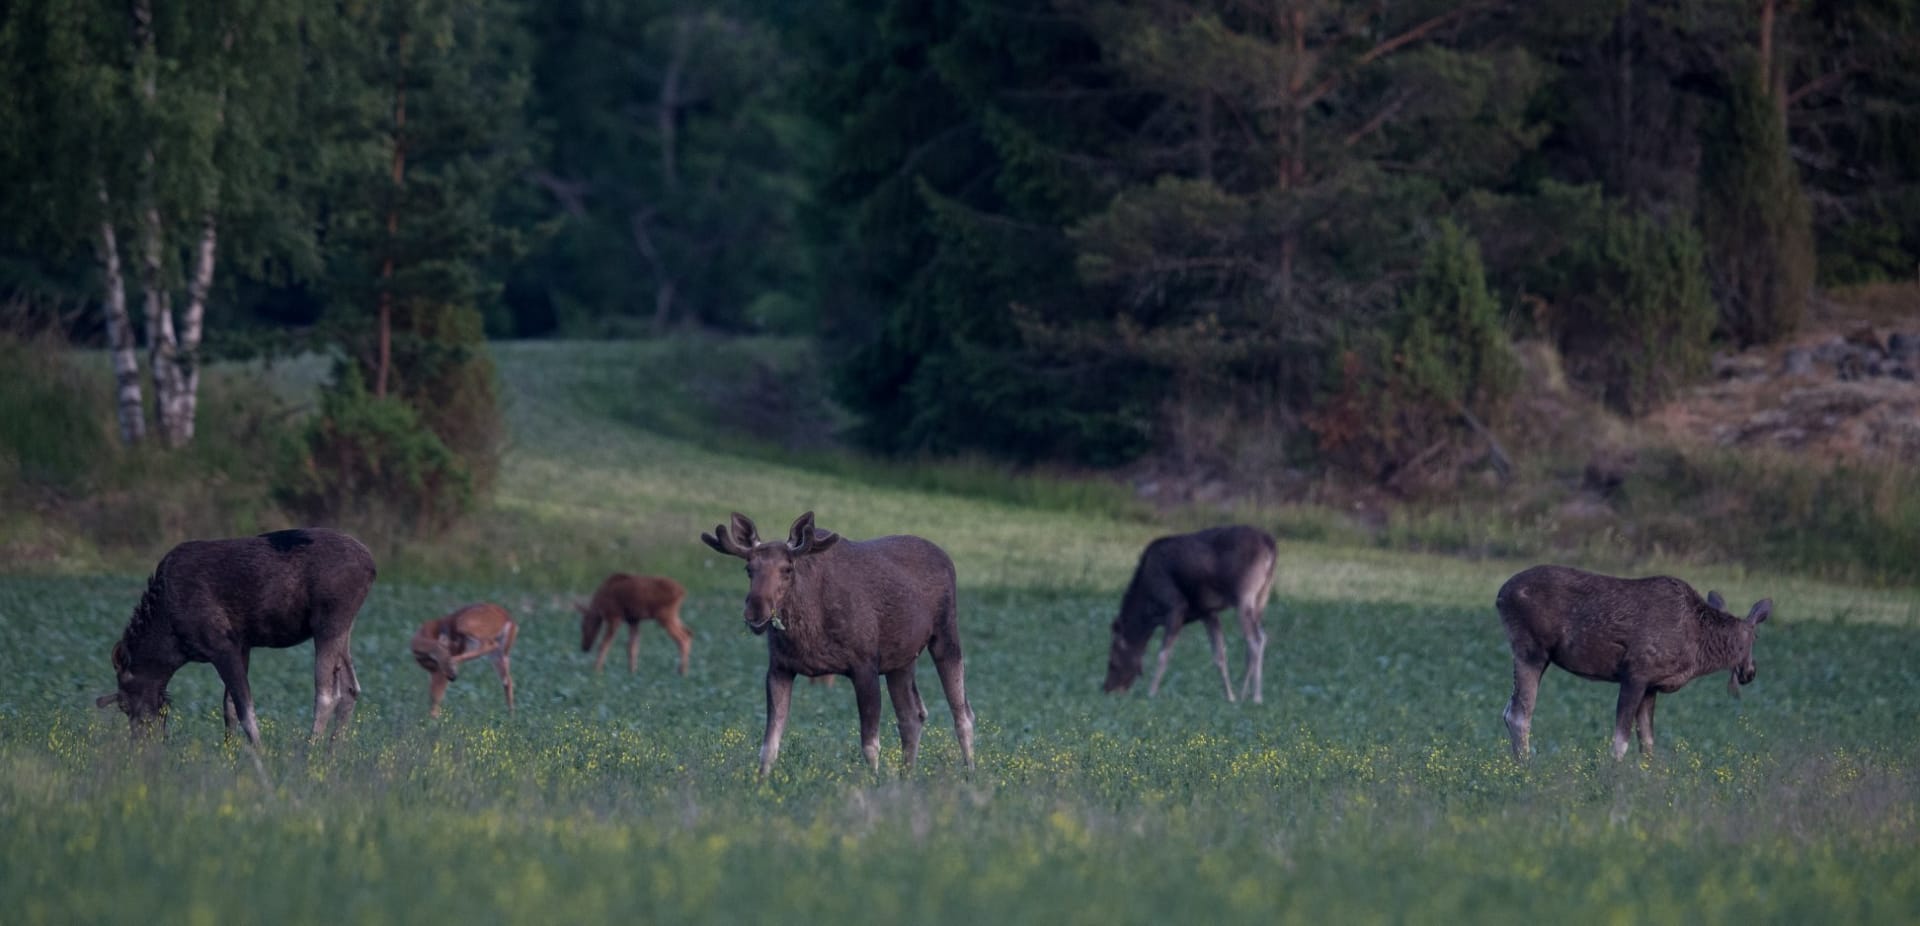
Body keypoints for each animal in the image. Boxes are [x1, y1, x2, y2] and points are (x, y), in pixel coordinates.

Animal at [93, 526, 376, 749]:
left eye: (124, 705)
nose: (140, 743)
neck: (171, 645)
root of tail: (372, 567)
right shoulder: (242, 644)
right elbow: (228, 707)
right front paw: (230, 755)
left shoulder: (221, 645)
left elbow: (244, 708)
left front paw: (260, 753)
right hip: (343, 628)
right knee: (351, 688)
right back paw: (332, 753)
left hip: (328, 622)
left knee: (327, 694)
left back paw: (309, 753)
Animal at [702, 511, 975, 776]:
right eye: (749, 569)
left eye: (788, 569)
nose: (756, 611)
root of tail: (947, 557)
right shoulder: (780, 668)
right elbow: (769, 745)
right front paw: (762, 784)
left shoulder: (865, 666)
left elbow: (870, 745)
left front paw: (873, 783)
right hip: (901, 661)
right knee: (912, 716)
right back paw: (906, 778)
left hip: (946, 636)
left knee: (963, 714)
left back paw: (970, 774)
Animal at [1105, 526, 1282, 703]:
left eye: (1112, 662)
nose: (1107, 688)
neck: (1150, 614)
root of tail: (1270, 543)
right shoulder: (1207, 612)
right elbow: (1219, 656)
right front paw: (1229, 697)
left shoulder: (1176, 606)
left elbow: (1164, 654)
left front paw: (1151, 692)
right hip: (1261, 598)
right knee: (1261, 637)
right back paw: (1243, 694)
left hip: (1244, 594)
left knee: (1255, 640)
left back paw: (1256, 697)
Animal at [1489, 564, 1774, 760]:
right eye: (1756, 636)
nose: (1750, 672)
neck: (1696, 648)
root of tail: (1500, 596)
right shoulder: (1635, 673)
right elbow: (1620, 739)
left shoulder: (1651, 686)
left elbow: (1647, 742)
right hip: (1531, 651)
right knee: (1519, 714)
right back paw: (1526, 768)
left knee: (1509, 710)